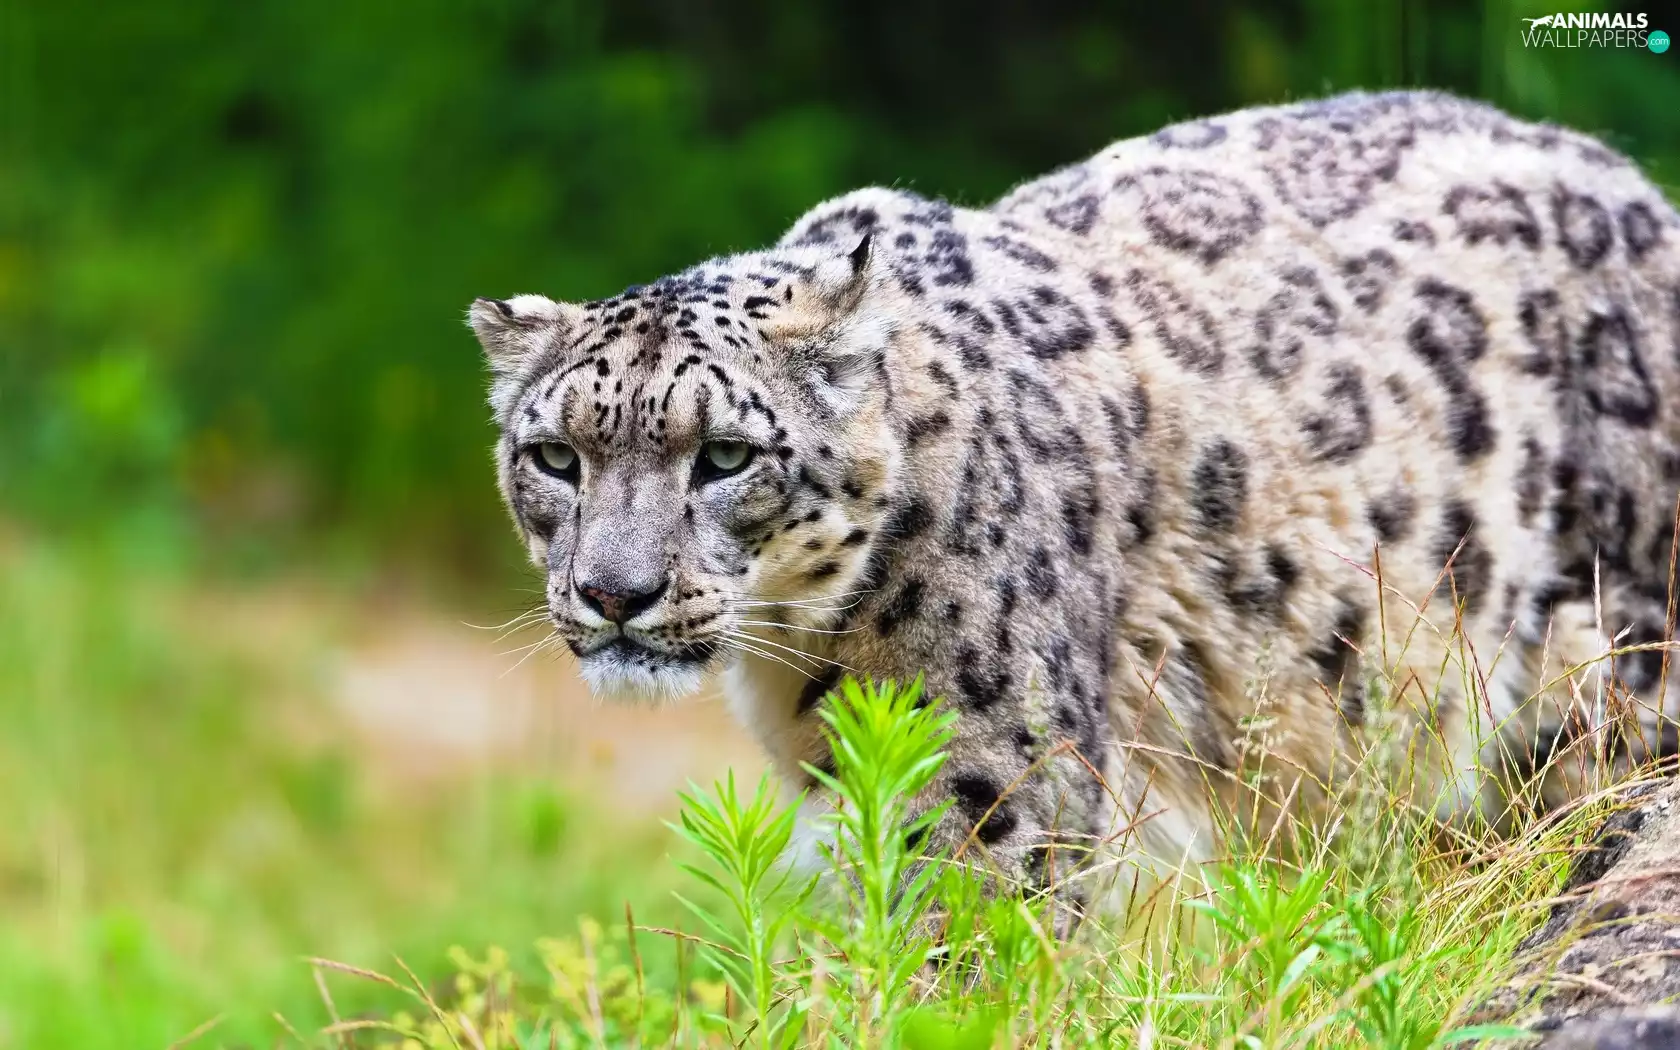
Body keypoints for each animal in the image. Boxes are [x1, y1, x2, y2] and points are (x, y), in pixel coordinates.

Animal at [468, 90, 1680, 923]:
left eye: (723, 455)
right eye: (555, 456)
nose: (614, 593)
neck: (806, 658)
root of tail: (1638, 187)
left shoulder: (989, 785)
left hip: (1612, 650)